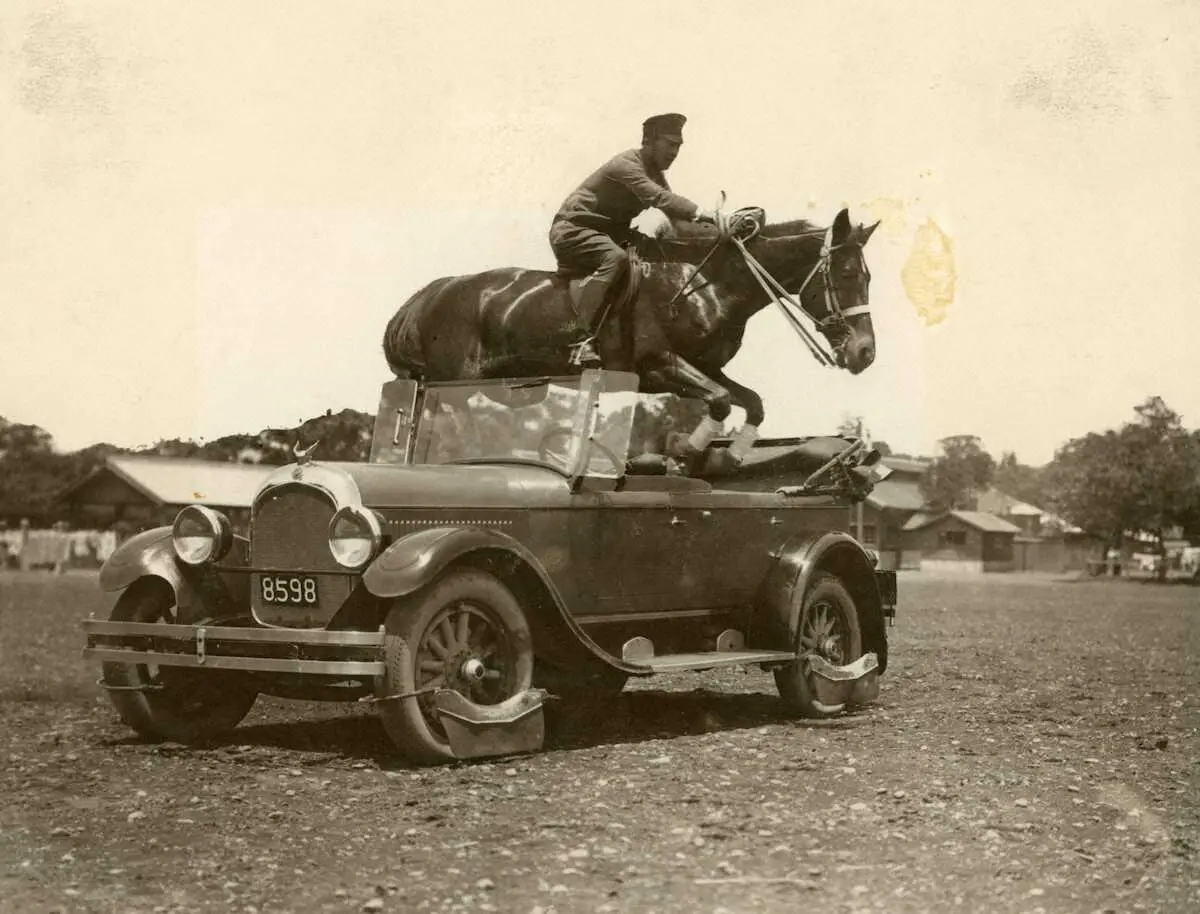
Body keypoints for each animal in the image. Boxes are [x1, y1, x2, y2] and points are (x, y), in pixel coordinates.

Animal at [384, 209, 883, 458]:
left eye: (868, 277)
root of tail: (426, 297)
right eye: (844, 274)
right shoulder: (658, 366)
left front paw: (733, 453)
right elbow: (722, 400)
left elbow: (751, 401)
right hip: (455, 385)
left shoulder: (703, 367)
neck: (704, 282)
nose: (864, 353)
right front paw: (685, 448)